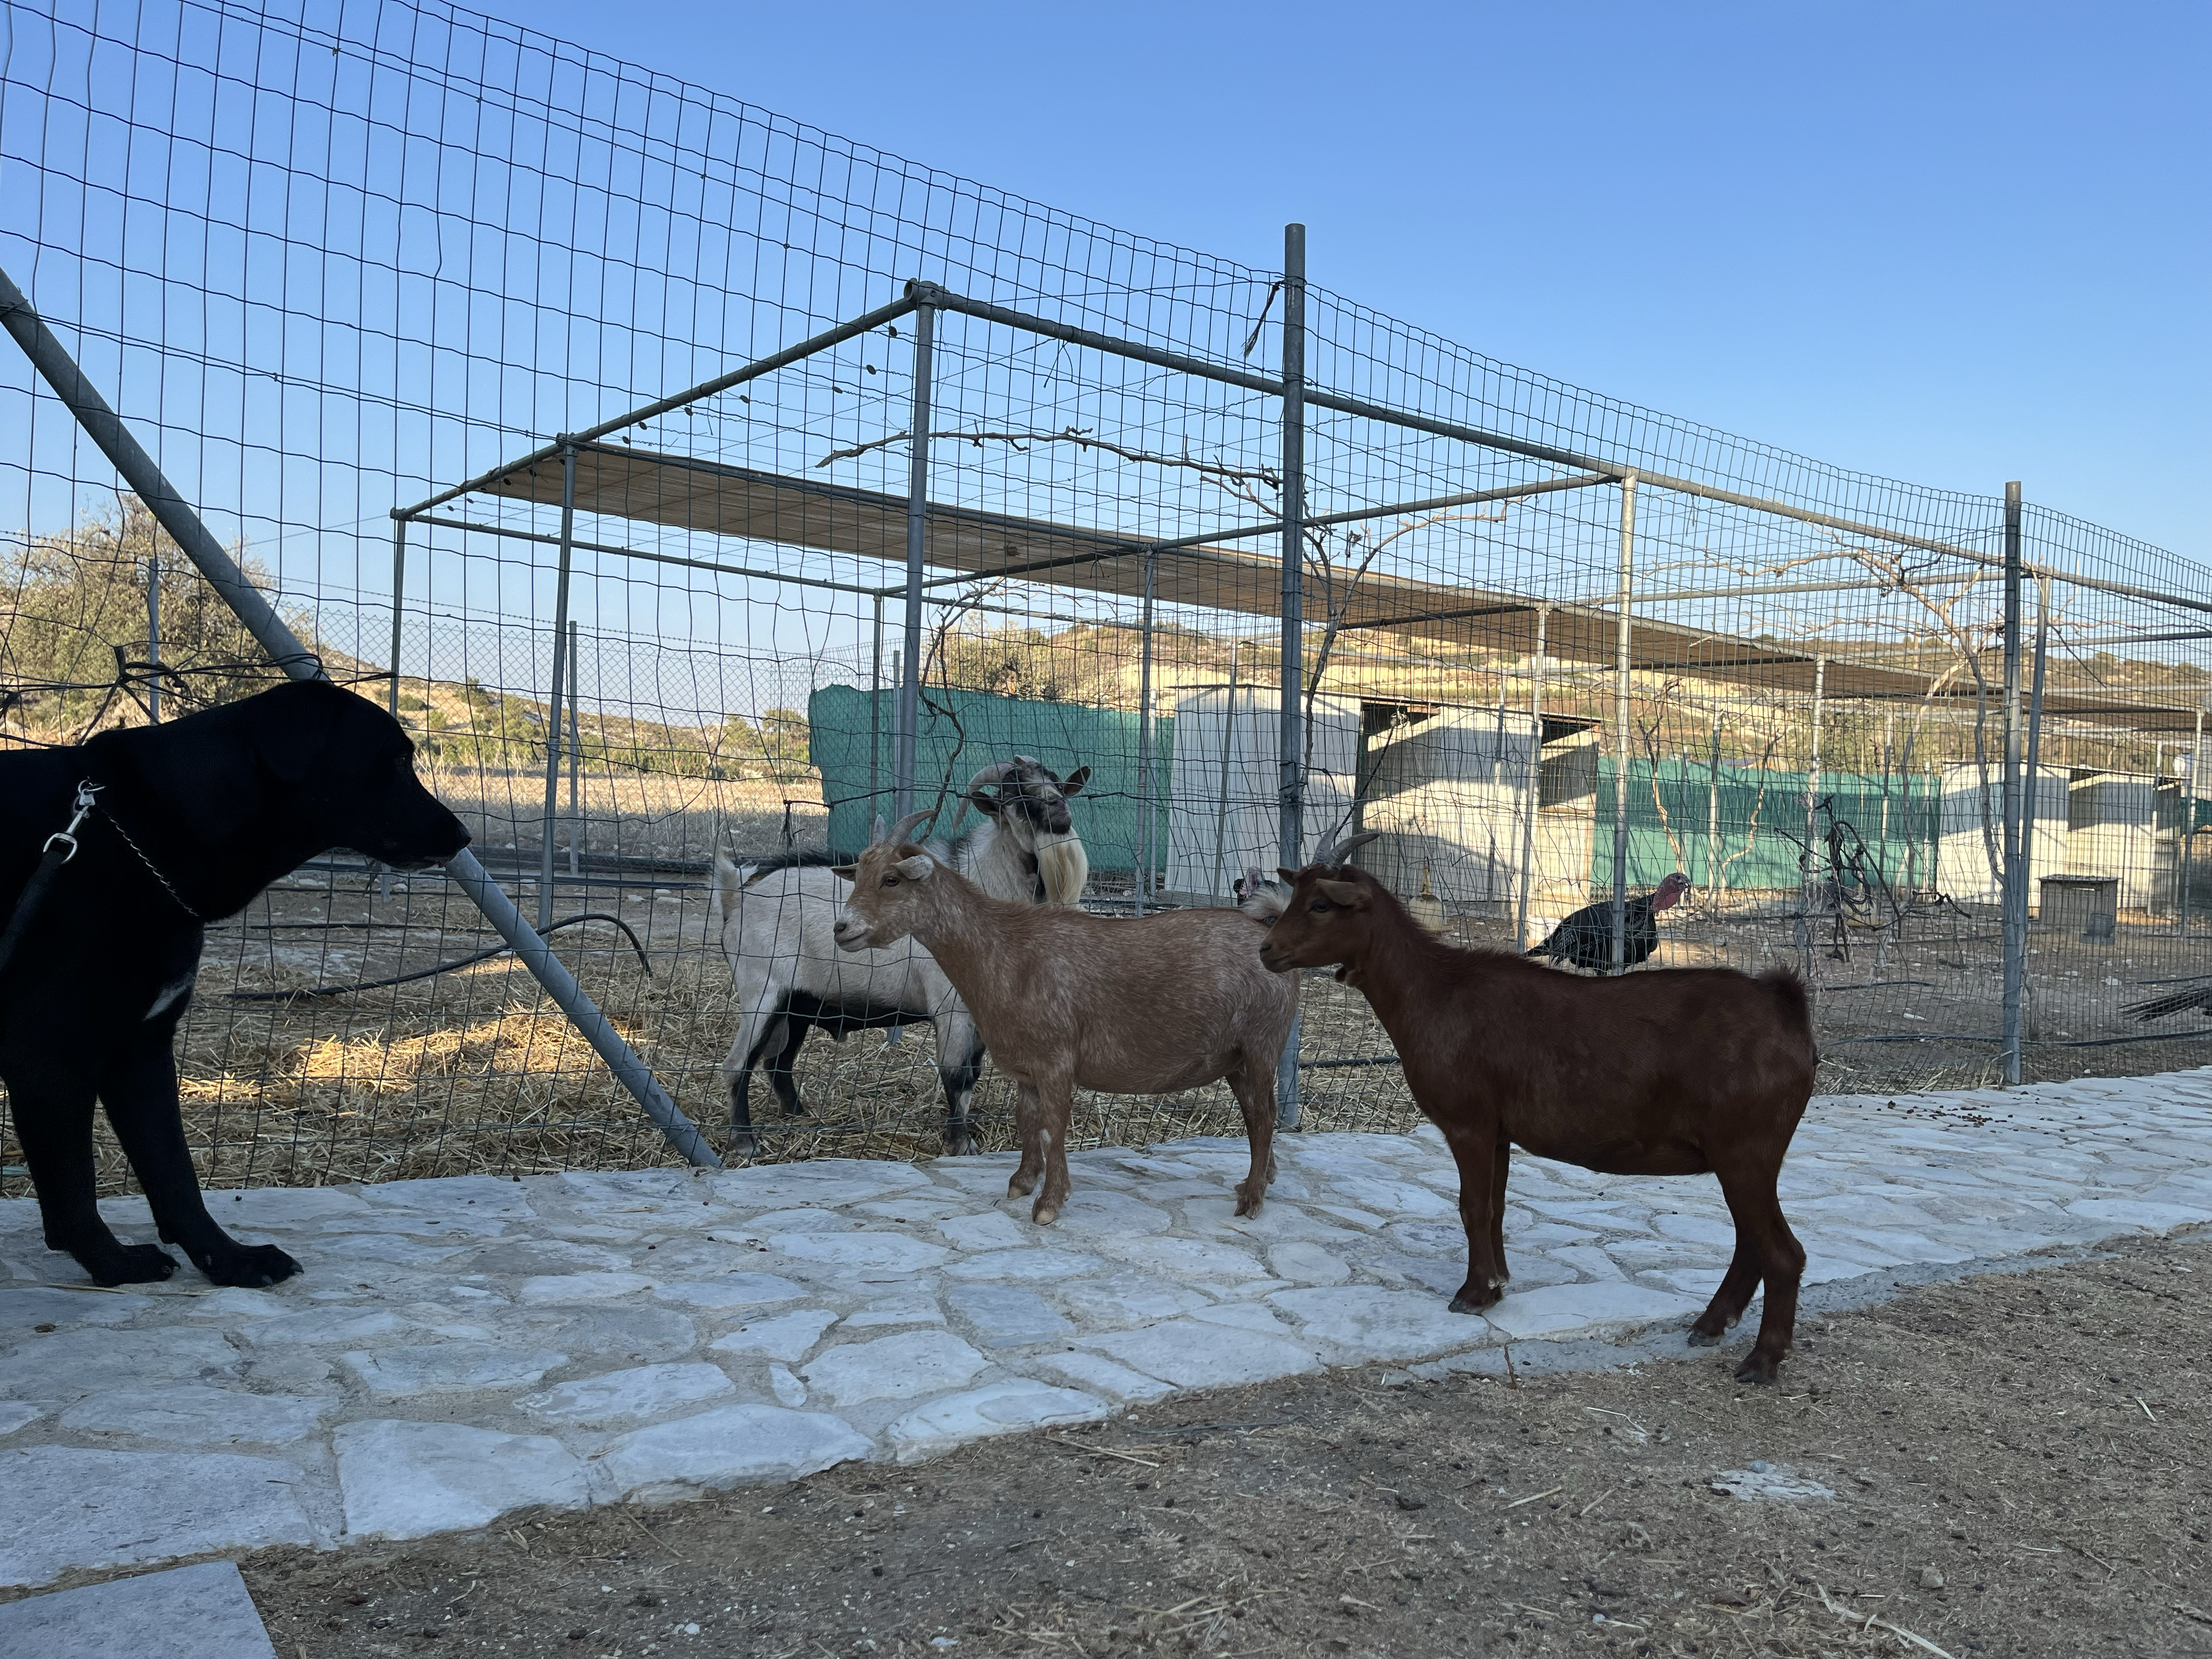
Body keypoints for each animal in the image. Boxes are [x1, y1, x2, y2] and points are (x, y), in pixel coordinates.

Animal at [712, 758, 1090, 1157]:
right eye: (1014, 796)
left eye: (1056, 784)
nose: (1058, 811)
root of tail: (735, 900)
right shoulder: (951, 1007)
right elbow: (956, 1074)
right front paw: (960, 1144)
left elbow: (971, 1077)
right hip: (762, 993)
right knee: (738, 1064)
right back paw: (745, 1142)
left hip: (799, 1003)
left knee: (778, 1062)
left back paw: (799, 1115)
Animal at [832, 813, 1297, 1225]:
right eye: (859, 875)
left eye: (891, 879)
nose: (842, 928)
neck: (1005, 952)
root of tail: (1267, 933)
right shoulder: (1027, 1068)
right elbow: (1027, 1120)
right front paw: (1022, 1182)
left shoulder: (1056, 1061)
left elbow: (1053, 1126)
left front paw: (1049, 1204)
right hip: (1236, 1058)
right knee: (1255, 1113)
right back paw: (1257, 1182)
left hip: (1262, 1045)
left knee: (1264, 1117)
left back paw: (1252, 1201)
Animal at [1256, 837, 1817, 1384]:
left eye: (1321, 904)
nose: (1267, 950)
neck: (1434, 990)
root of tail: (1785, 1008)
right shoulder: (1499, 1130)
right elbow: (1496, 1206)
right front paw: (1499, 1281)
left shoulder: (1469, 1122)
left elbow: (1471, 1206)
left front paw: (1473, 1294)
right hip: (1744, 1156)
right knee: (1751, 1242)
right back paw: (1711, 1325)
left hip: (1745, 1149)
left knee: (1782, 1252)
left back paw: (1762, 1361)